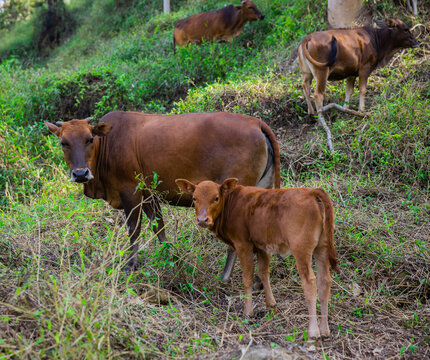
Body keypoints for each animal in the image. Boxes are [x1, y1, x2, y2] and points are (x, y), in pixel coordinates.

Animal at [42, 111, 278, 280]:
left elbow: (134, 230)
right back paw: (259, 279)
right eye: (63, 142)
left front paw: (131, 264)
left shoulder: (131, 192)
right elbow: (159, 228)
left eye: (90, 138)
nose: (80, 173)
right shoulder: (150, 196)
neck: (107, 146)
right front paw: (170, 257)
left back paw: (226, 276)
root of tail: (255, 123)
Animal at [175, 179, 340, 338]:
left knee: (310, 282)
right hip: (322, 247)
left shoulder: (243, 244)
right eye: (194, 198)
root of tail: (313, 191)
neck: (231, 202)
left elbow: (247, 277)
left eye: (216, 198)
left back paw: (314, 332)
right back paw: (325, 330)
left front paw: (248, 312)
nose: (202, 220)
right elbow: (263, 273)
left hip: (301, 248)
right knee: (324, 281)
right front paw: (271, 305)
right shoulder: (262, 246)